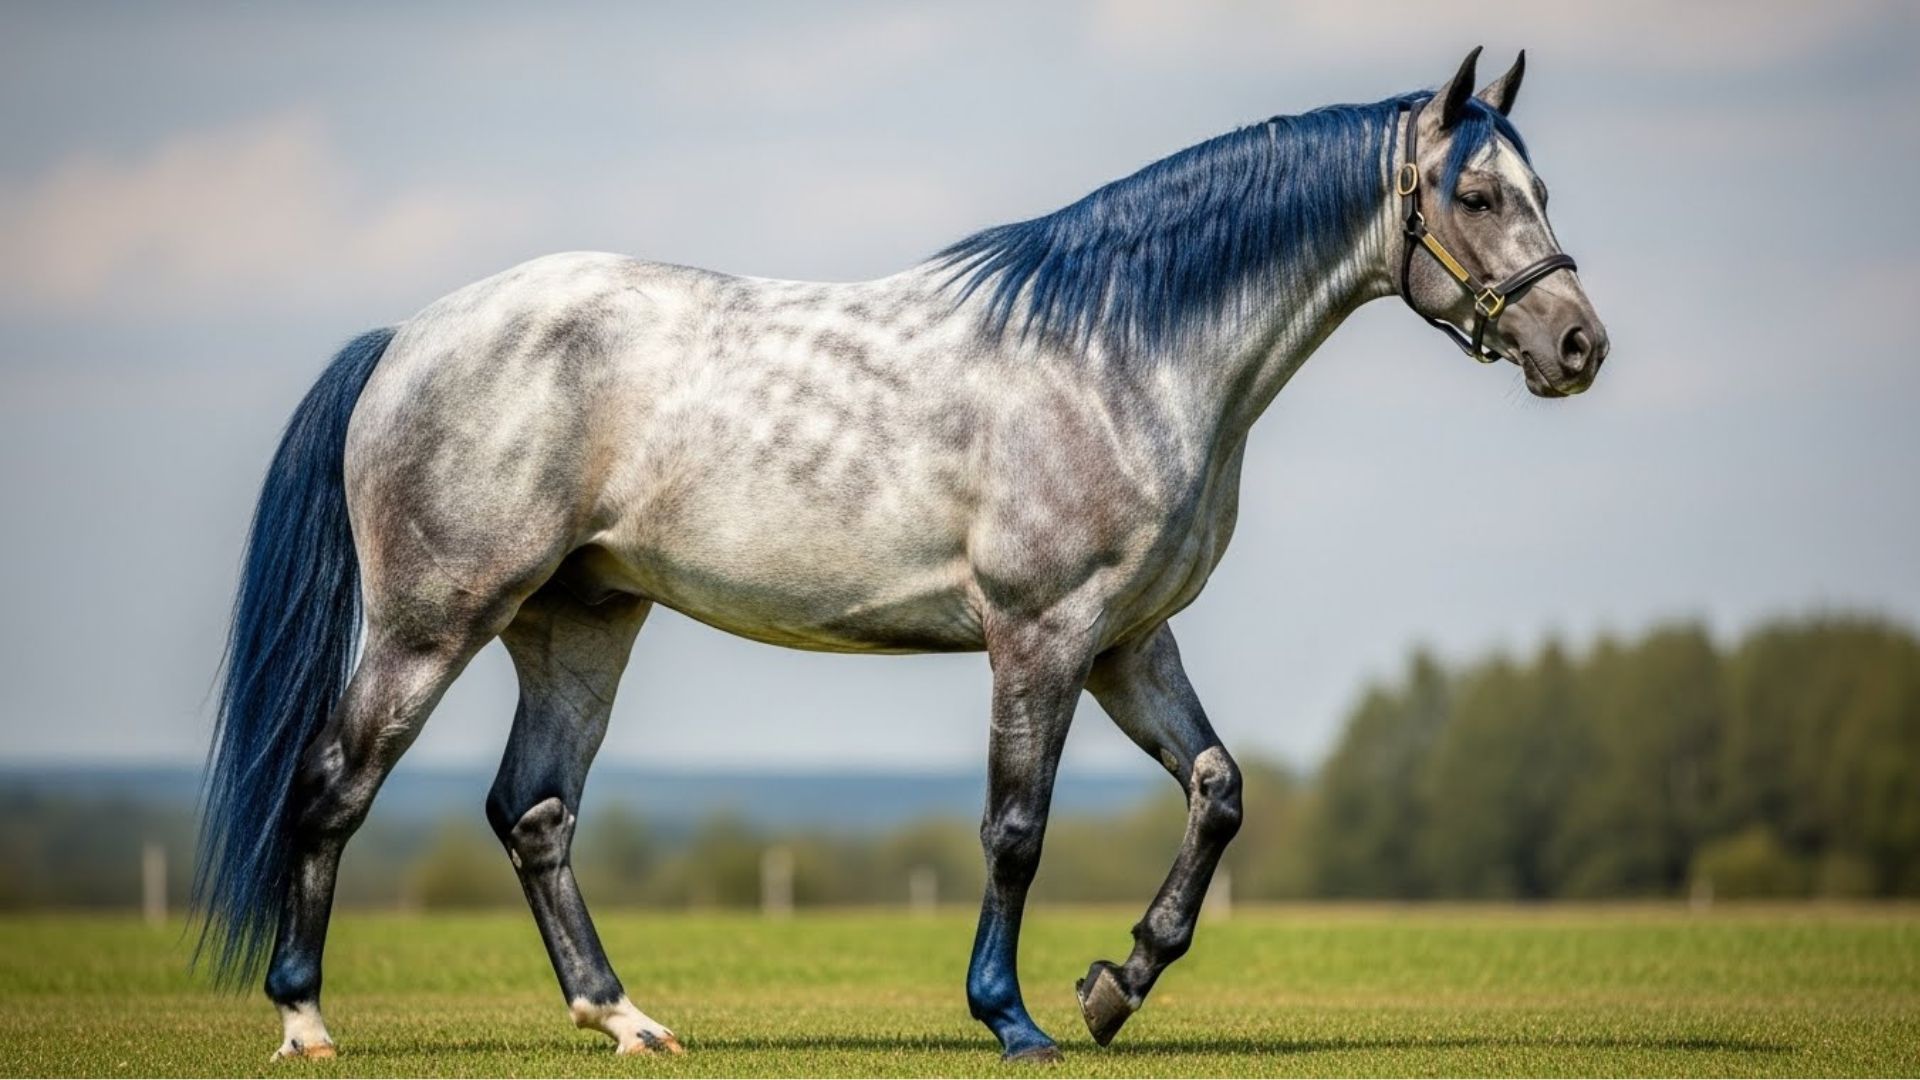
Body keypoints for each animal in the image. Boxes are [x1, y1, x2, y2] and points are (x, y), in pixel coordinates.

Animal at [195, 46, 1607, 1063]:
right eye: (1477, 194)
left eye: (1542, 190)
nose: (1579, 344)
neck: (1123, 355)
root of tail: (406, 336)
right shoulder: (1041, 634)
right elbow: (1016, 829)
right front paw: (1015, 1017)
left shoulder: (1128, 641)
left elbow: (1218, 792)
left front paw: (1115, 985)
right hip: (433, 621)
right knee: (334, 786)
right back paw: (305, 1020)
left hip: (579, 624)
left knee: (532, 813)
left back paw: (625, 1019)